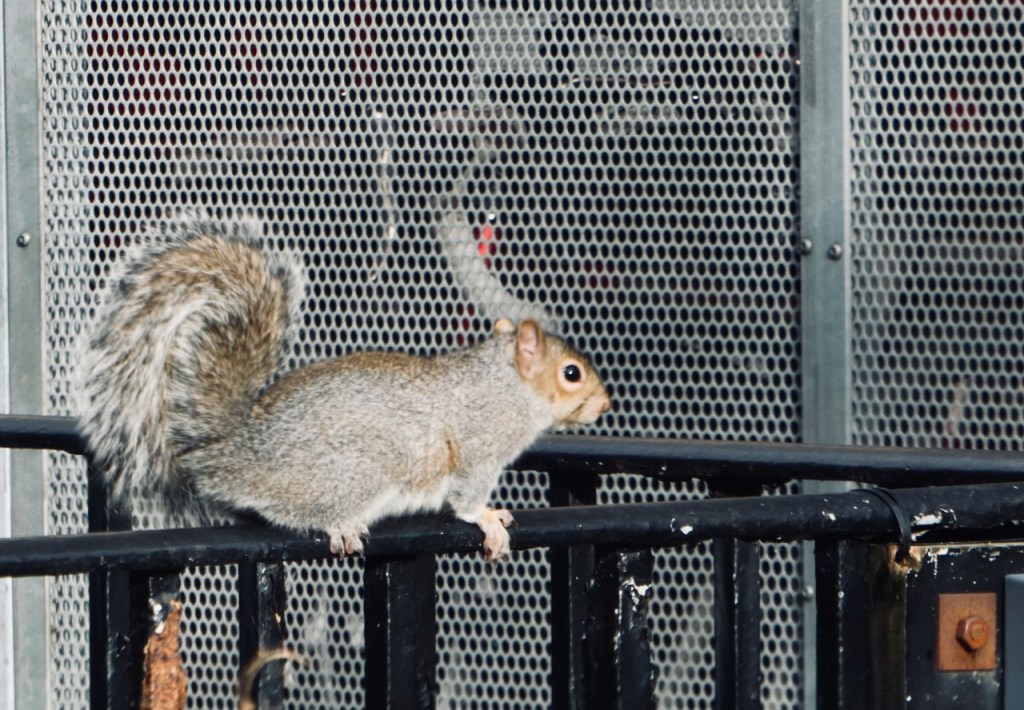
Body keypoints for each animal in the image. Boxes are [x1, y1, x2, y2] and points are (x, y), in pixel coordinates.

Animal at [77, 216, 611, 560]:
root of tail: (238, 451)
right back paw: (339, 525)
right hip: (361, 467)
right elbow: (465, 497)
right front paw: (487, 519)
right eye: (571, 373)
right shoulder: (479, 446)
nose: (605, 405)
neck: (507, 385)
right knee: (292, 511)